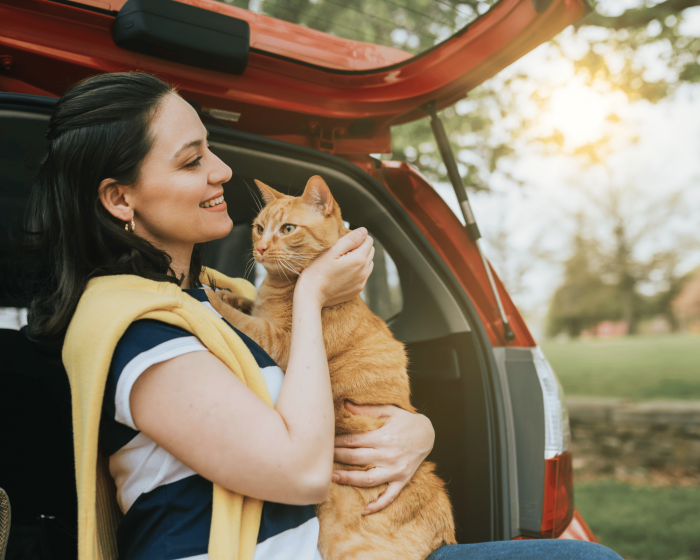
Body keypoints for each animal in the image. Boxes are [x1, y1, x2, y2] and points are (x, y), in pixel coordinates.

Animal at [211, 175, 456, 560]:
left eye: (288, 229)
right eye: (259, 228)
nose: (261, 249)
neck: (281, 286)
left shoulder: (279, 344)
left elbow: (243, 320)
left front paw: (211, 296)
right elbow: (247, 304)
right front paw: (224, 288)